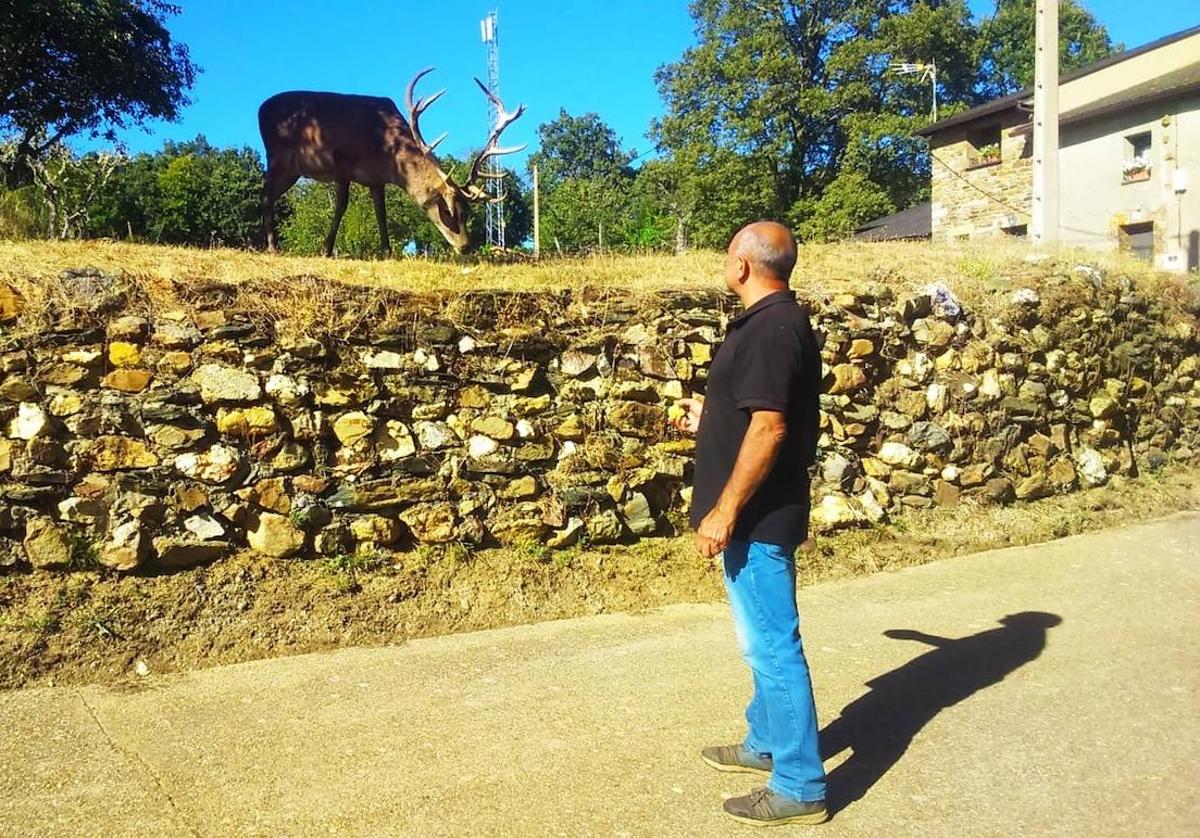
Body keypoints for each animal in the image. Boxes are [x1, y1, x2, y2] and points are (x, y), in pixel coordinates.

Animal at [258, 68, 525, 254]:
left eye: (467, 212)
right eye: (449, 212)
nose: (466, 247)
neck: (386, 152)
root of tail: (260, 110)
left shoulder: (376, 179)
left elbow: (381, 212)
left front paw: (387, 251)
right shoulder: (342, 160)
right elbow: (341, 205)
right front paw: (326, 249)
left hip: (292, 170)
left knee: (269, 195)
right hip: (277, 156)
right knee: (265, 194)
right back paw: (272, 246)